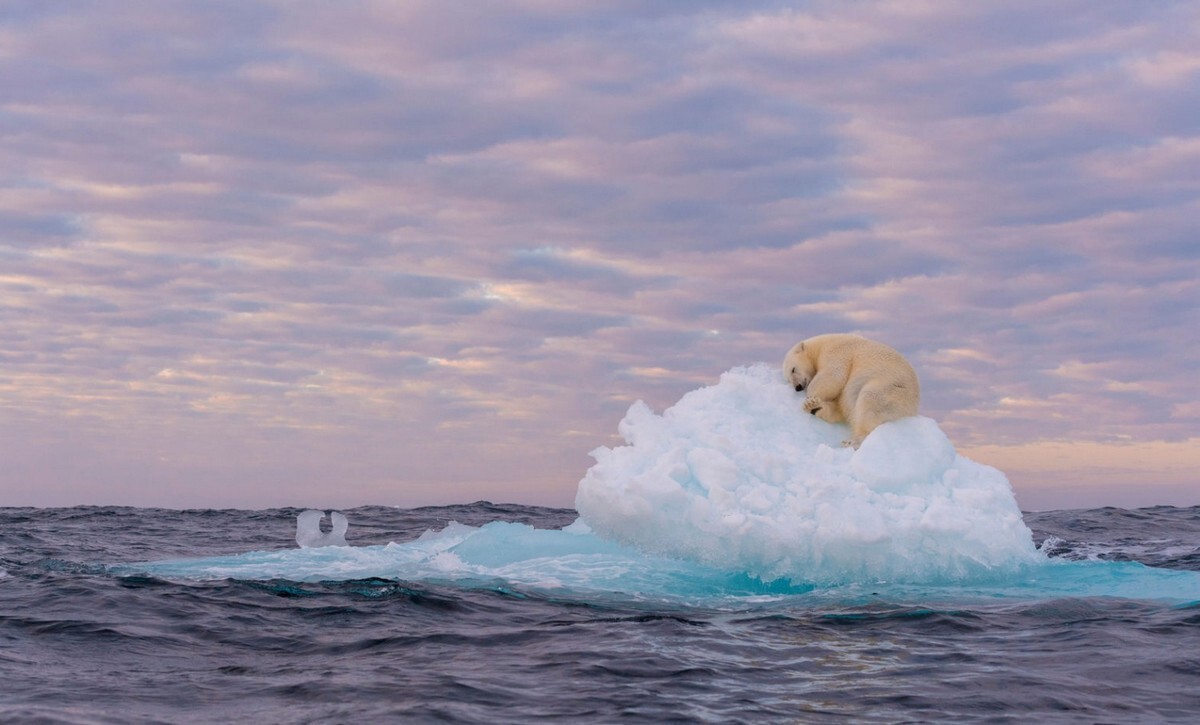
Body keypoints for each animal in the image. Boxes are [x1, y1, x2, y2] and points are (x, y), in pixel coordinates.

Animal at [782, 333, 921, 446]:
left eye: (793, 369)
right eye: (788, 379)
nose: (797, 387)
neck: (821, 345)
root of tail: (914, 407)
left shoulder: (837, 352)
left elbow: (834, 376)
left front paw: (810, 398)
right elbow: (838, 407)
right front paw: (813, 405)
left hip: (894, 389)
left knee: (870, 400)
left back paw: (853, 441)